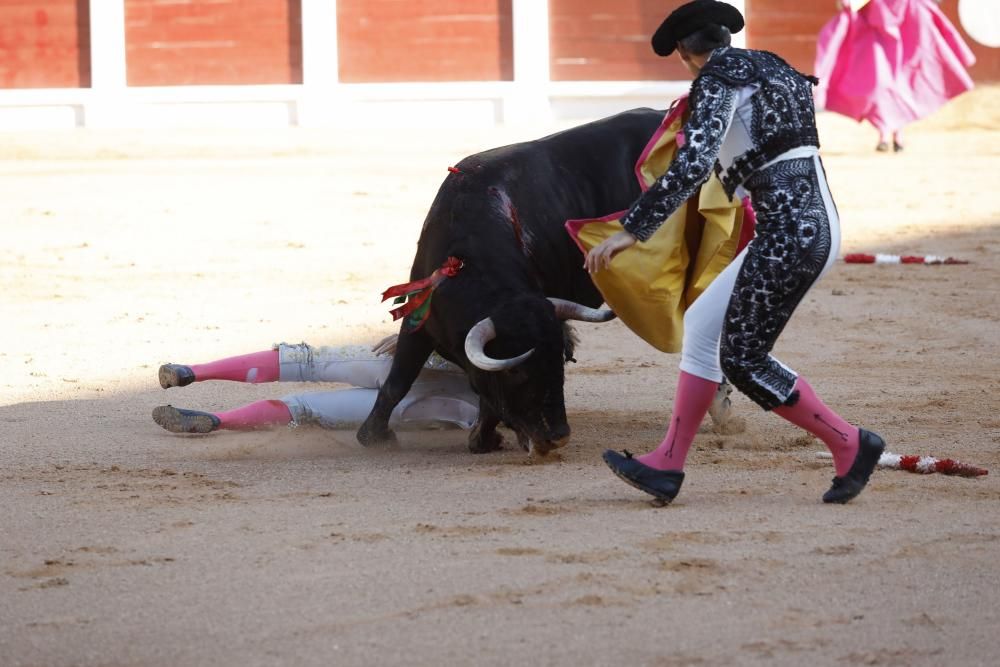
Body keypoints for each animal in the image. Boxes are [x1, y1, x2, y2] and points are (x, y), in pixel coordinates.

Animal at [360, 108, 664, 454]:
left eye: (558, 364)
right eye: (517, 371)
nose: (558, 436)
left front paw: (484, 438)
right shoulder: (420, 318)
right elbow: (398, 379)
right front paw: (374, 436)